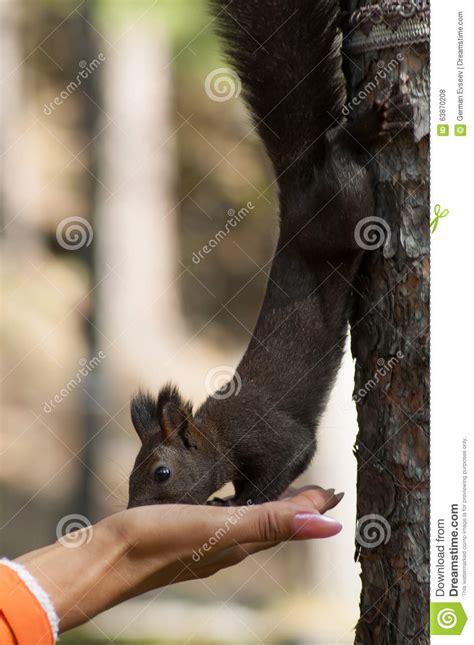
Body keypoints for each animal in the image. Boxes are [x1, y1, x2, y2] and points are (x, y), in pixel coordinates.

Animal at [127, 0, 412, 506]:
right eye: (129, 475)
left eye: (161, 473)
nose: (128, 509)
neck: (218, 434)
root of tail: (294, 185)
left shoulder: (267, 434)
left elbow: (294, 455)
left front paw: (240, 500)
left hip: (342, 212)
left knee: (340, 153)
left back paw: (364, 129)